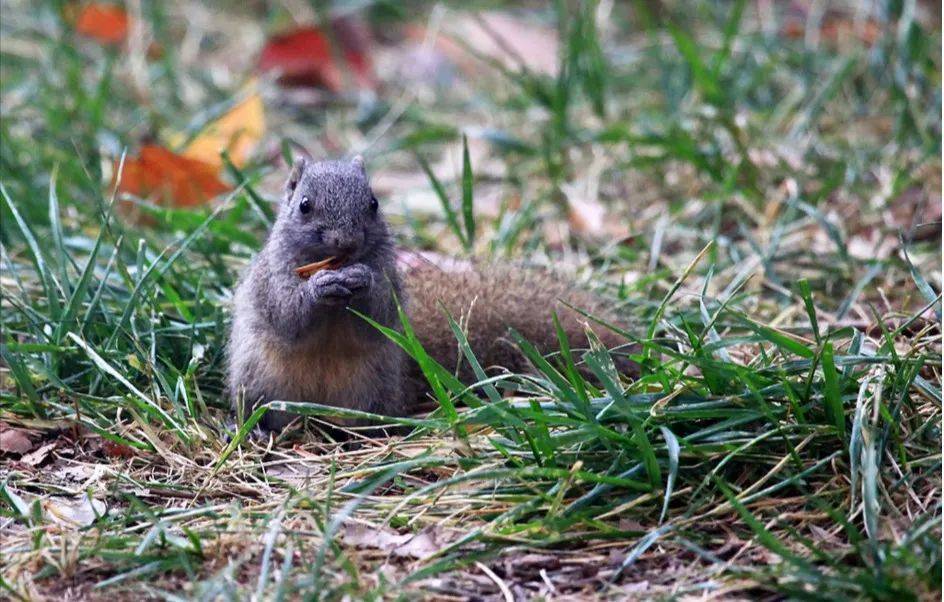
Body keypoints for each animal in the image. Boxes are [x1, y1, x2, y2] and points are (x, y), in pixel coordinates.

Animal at [225, 157, 632, 428]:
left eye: (373, 203)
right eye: (304, 205)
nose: (347, 242)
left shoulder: (389, 280)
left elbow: (378, 317)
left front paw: (362, 280)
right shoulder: (270, 279)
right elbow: (285, 315)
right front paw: (318, 287)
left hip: (371, 387)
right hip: (259, 380)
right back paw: (257, 430)